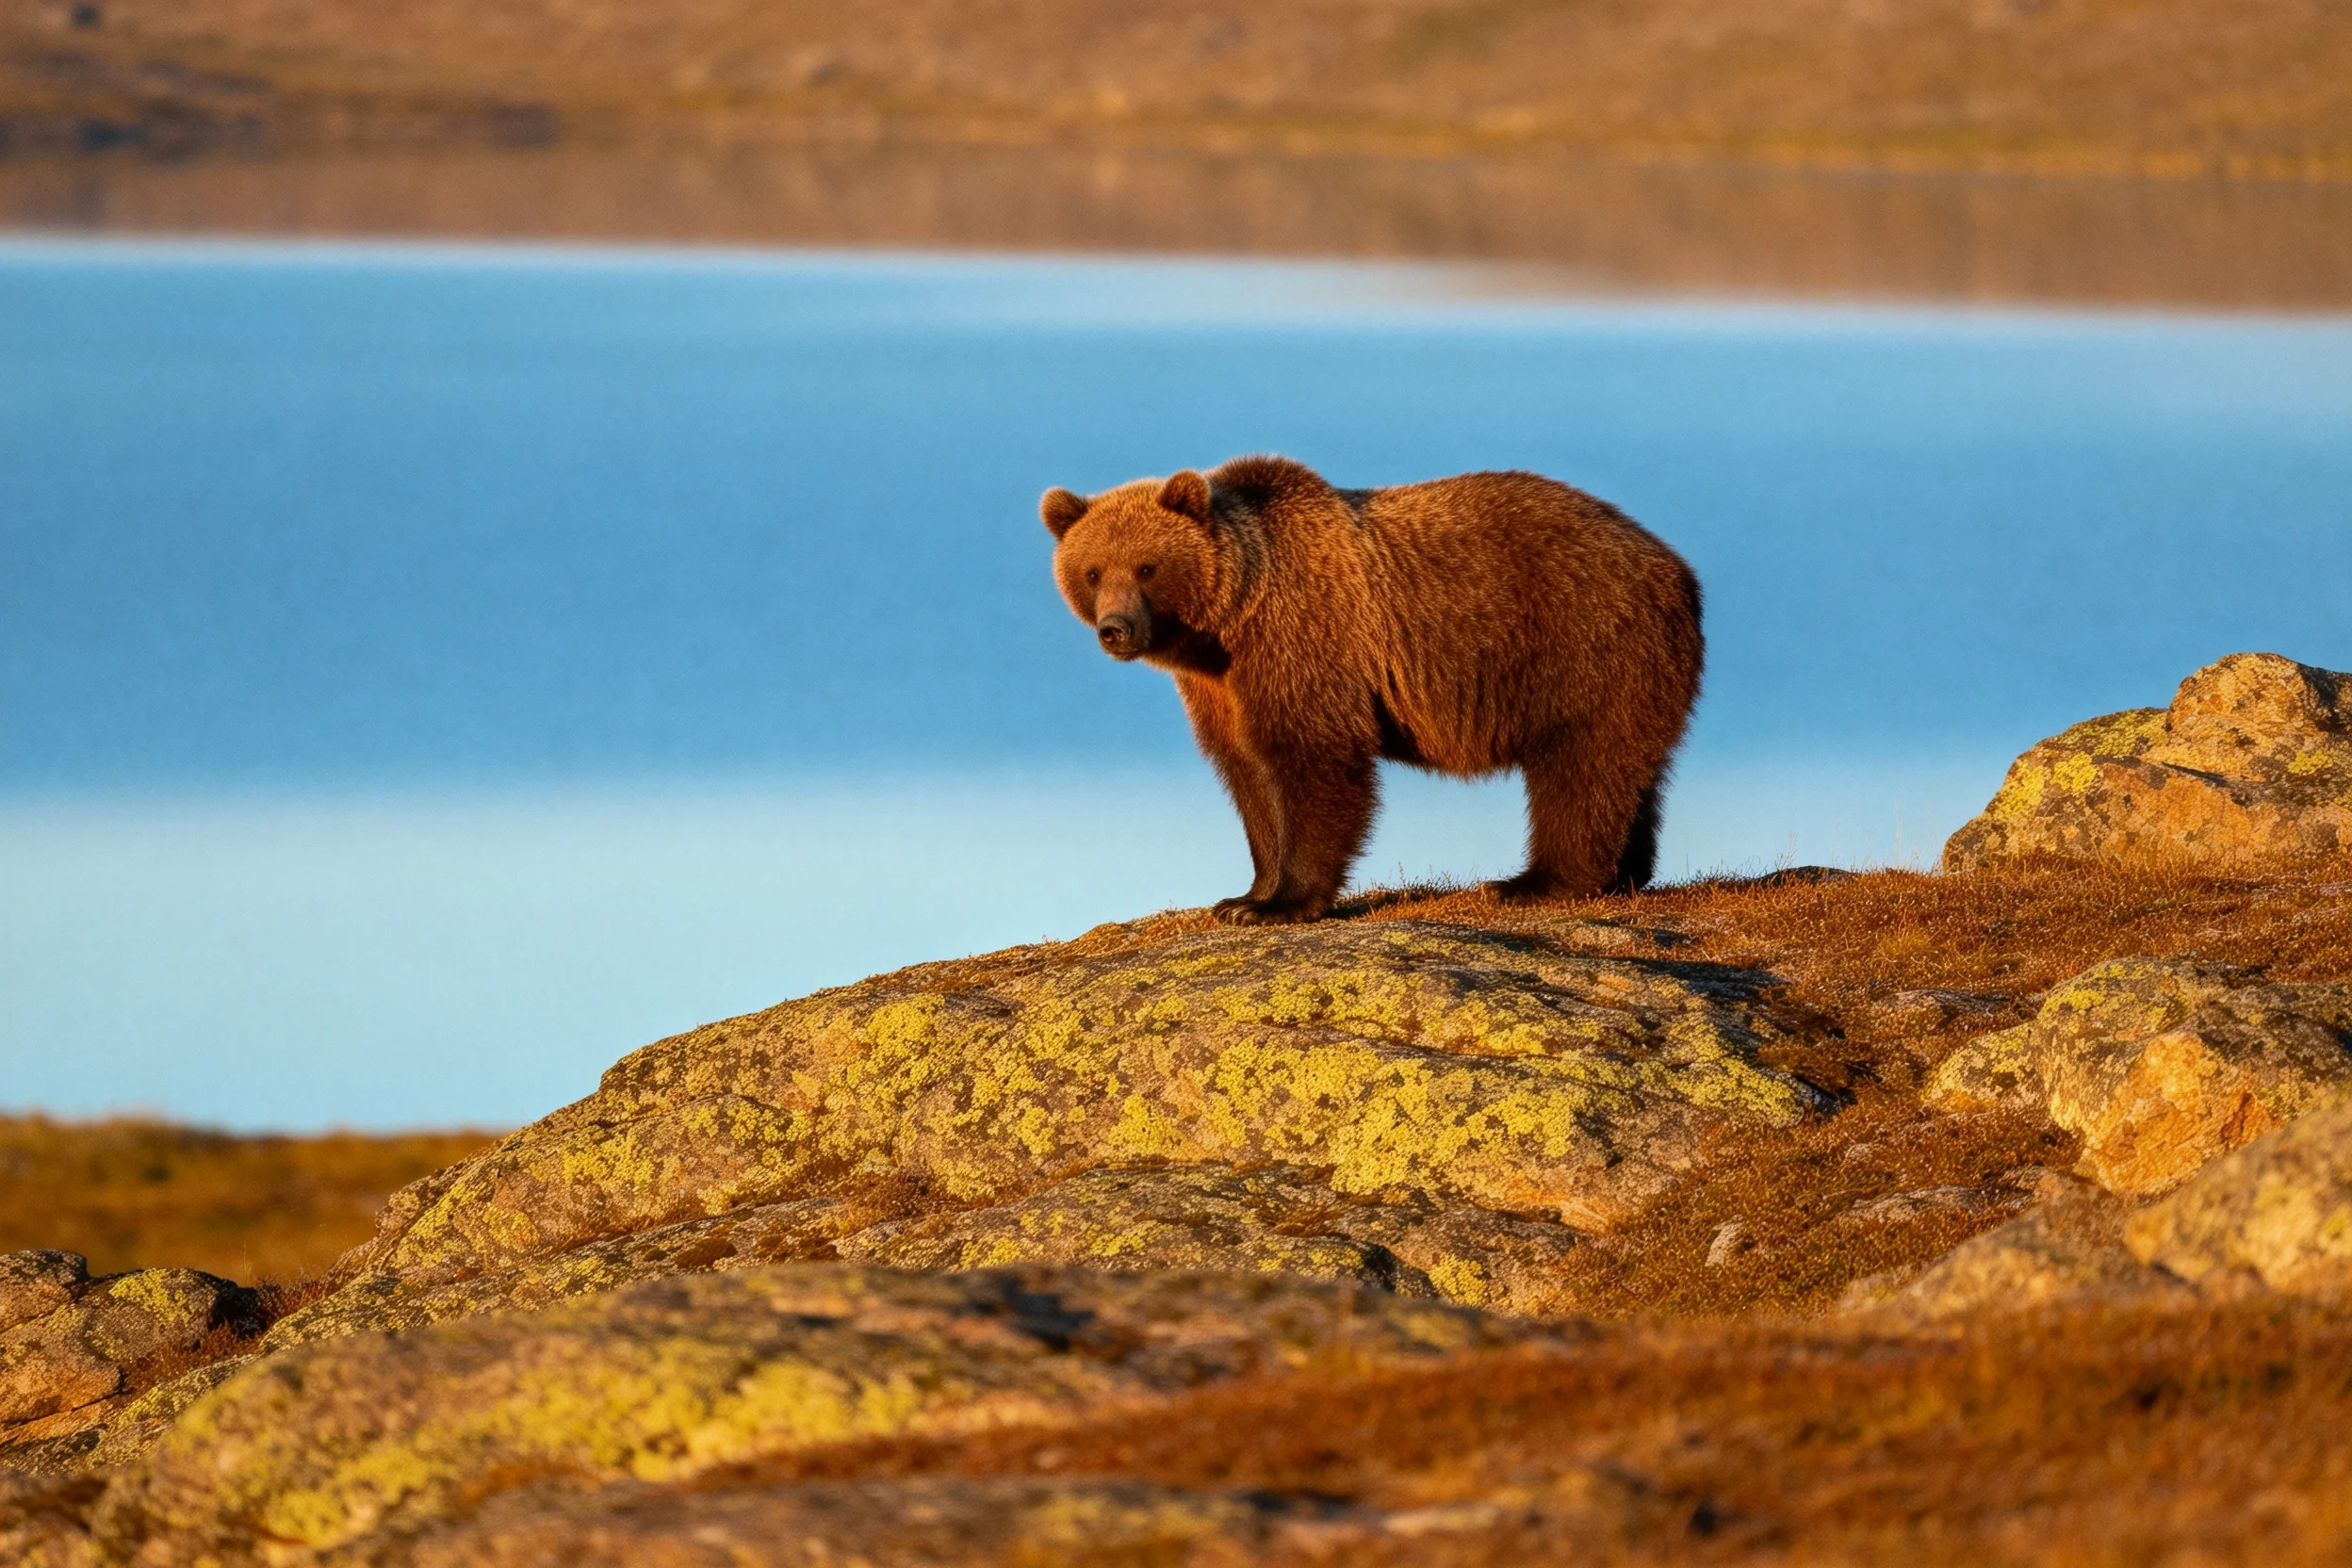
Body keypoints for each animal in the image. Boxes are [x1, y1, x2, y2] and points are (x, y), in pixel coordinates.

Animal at [1042, 455, 1704, 924]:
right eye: (1092, 571)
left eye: (1147, 566)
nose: (1115, 629)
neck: (1227, 623)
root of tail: (1676, 568)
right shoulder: (1218, 686)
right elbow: (1247, 772)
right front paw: (1244, 895)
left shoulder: (1302, 636)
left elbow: (1314, 761)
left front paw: (1282, 903)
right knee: (1629, 768)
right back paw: (1626, 872)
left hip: (1580, 644)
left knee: (1577, 768)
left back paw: (1533, 883)